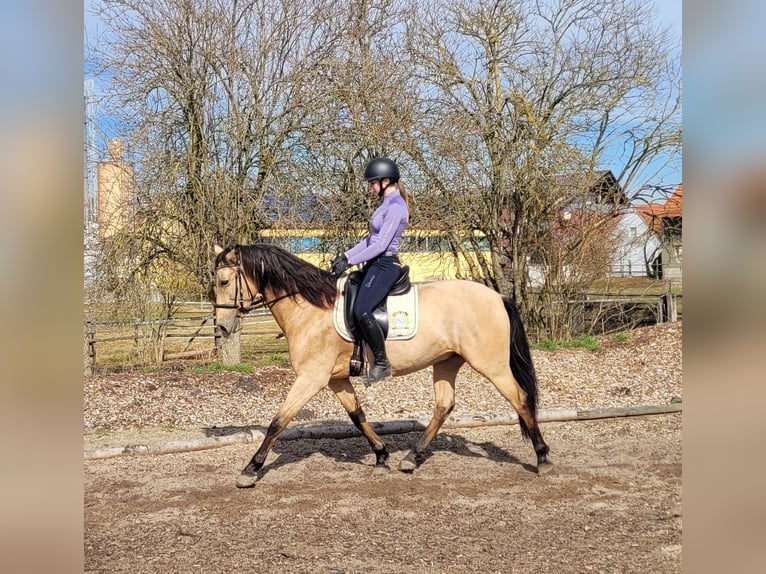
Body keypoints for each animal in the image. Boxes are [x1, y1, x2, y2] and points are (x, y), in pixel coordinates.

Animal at [213, 243, 556, 490]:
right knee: (444, 405)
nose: (223, 327)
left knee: (520, 399)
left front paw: (250, 470)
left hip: (491, 364)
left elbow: (278, 422)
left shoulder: (311, 377)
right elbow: (357, 415)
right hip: (447, 362)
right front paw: (381, 455)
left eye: (224, 281)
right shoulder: (335, 379)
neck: (311, 308)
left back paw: (543, 458)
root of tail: (498, 297)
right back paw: (412, 458)